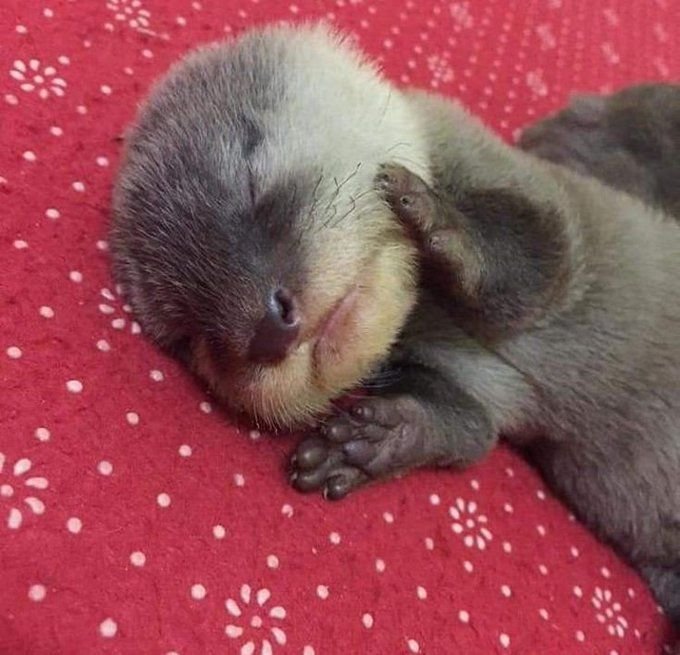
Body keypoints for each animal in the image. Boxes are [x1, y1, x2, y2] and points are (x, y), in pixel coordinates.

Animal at [109, 24, 676, 632]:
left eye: (252, 176)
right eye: (191, 335)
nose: (264, 330)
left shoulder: (537, 196)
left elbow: (539, 256)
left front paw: (435, 216)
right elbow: (475, 431)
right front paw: (376, 440)